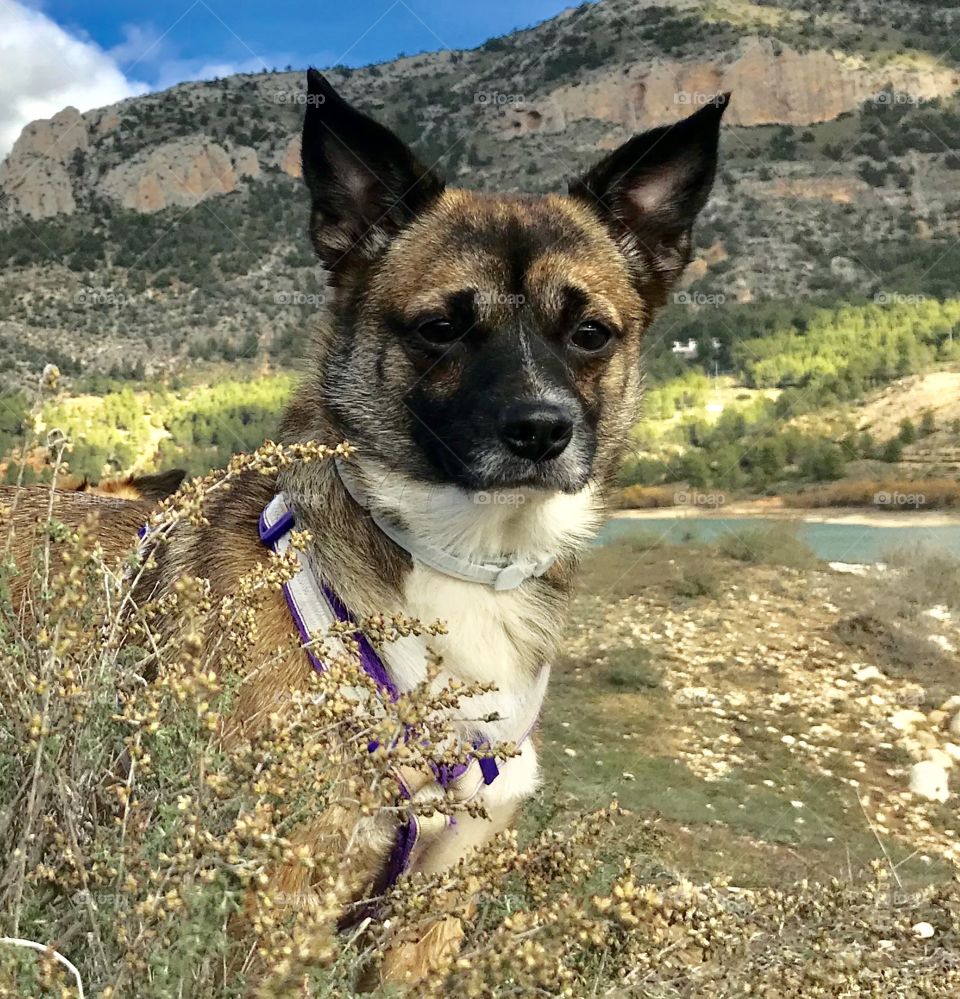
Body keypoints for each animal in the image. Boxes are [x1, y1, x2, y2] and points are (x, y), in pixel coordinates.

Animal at [1, 74, 728, 988]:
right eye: (440, 327)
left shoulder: (427, 913)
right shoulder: (274, 915)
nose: (540, 429)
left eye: (591, 333)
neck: (464, 557)